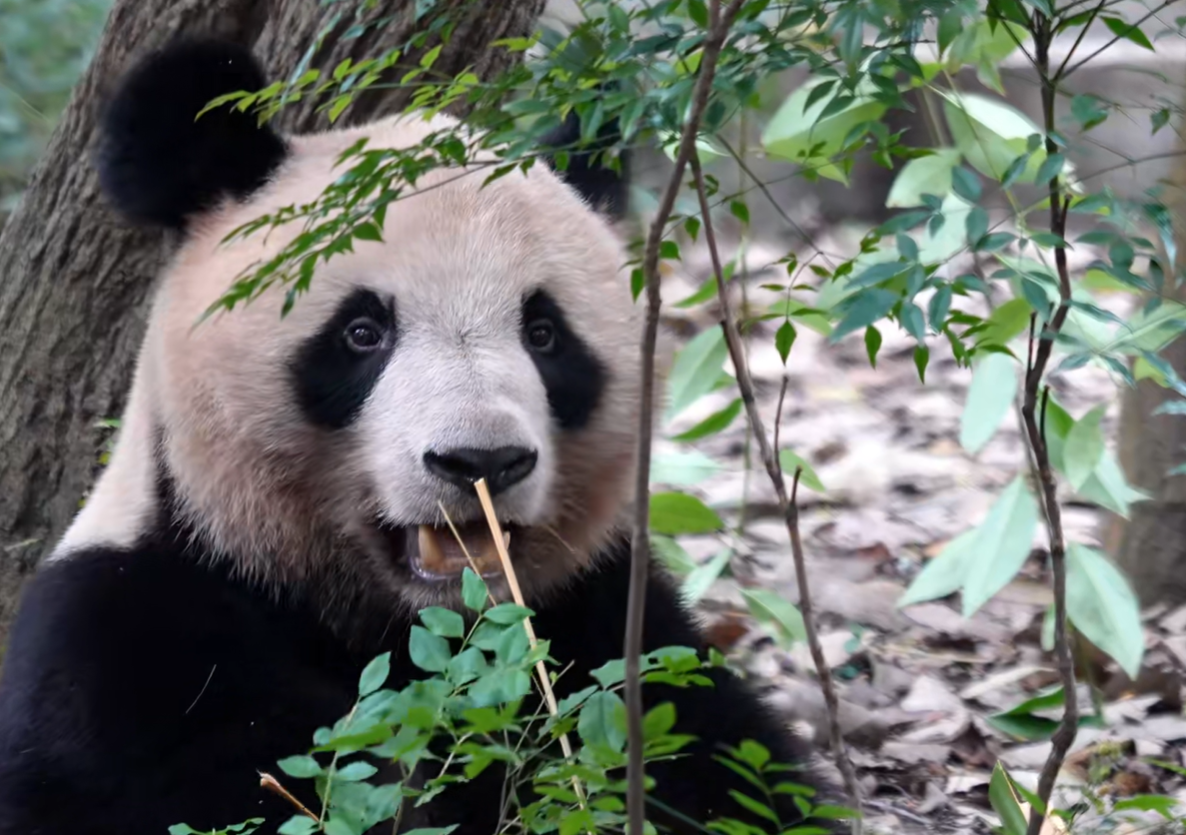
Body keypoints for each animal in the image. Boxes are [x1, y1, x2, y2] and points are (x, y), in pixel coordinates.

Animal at [0, 37, 834, 835]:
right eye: (362, 332)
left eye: (544, 333)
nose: (482, 459)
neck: (419, 627)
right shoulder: (133, 642)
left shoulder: (602, 619)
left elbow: (721, 766)